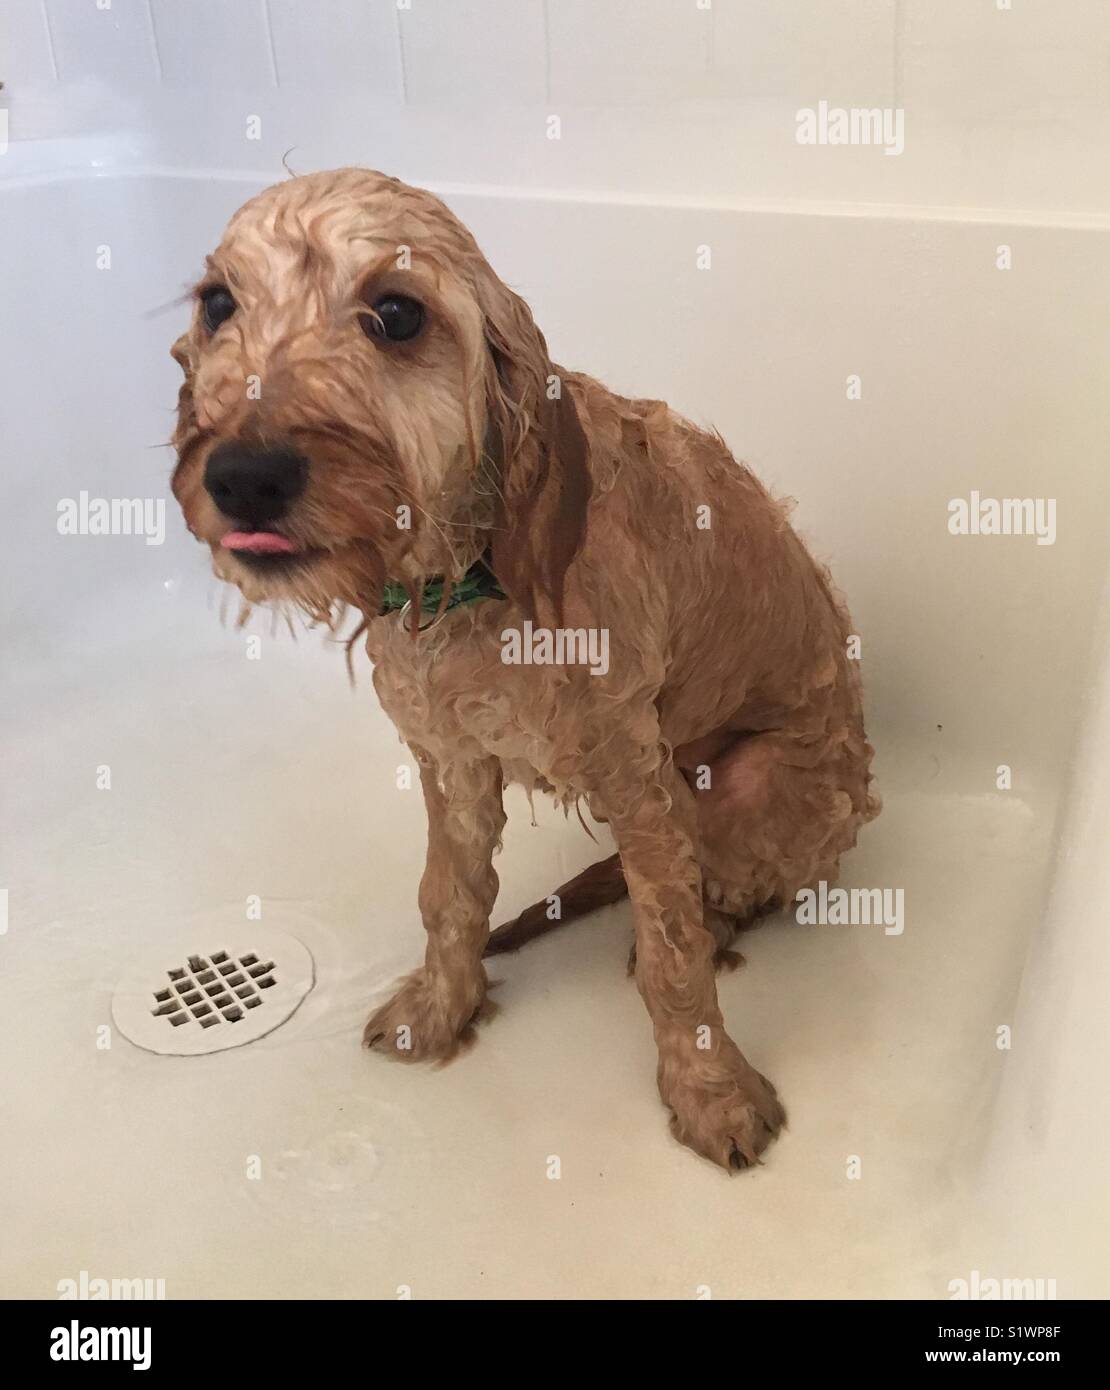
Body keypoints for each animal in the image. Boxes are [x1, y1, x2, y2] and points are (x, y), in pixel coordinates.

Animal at [169, 165, 883, 1173]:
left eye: (398, 313)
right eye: (218, 303)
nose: (243, 475)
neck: (469, 583)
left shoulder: (637, 777)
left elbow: (673, 956)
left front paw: (709, 1092)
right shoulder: (451, 760)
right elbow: (450, 897)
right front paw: (440, 1011)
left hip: (757, 782)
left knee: (736, 884)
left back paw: (714, 923)